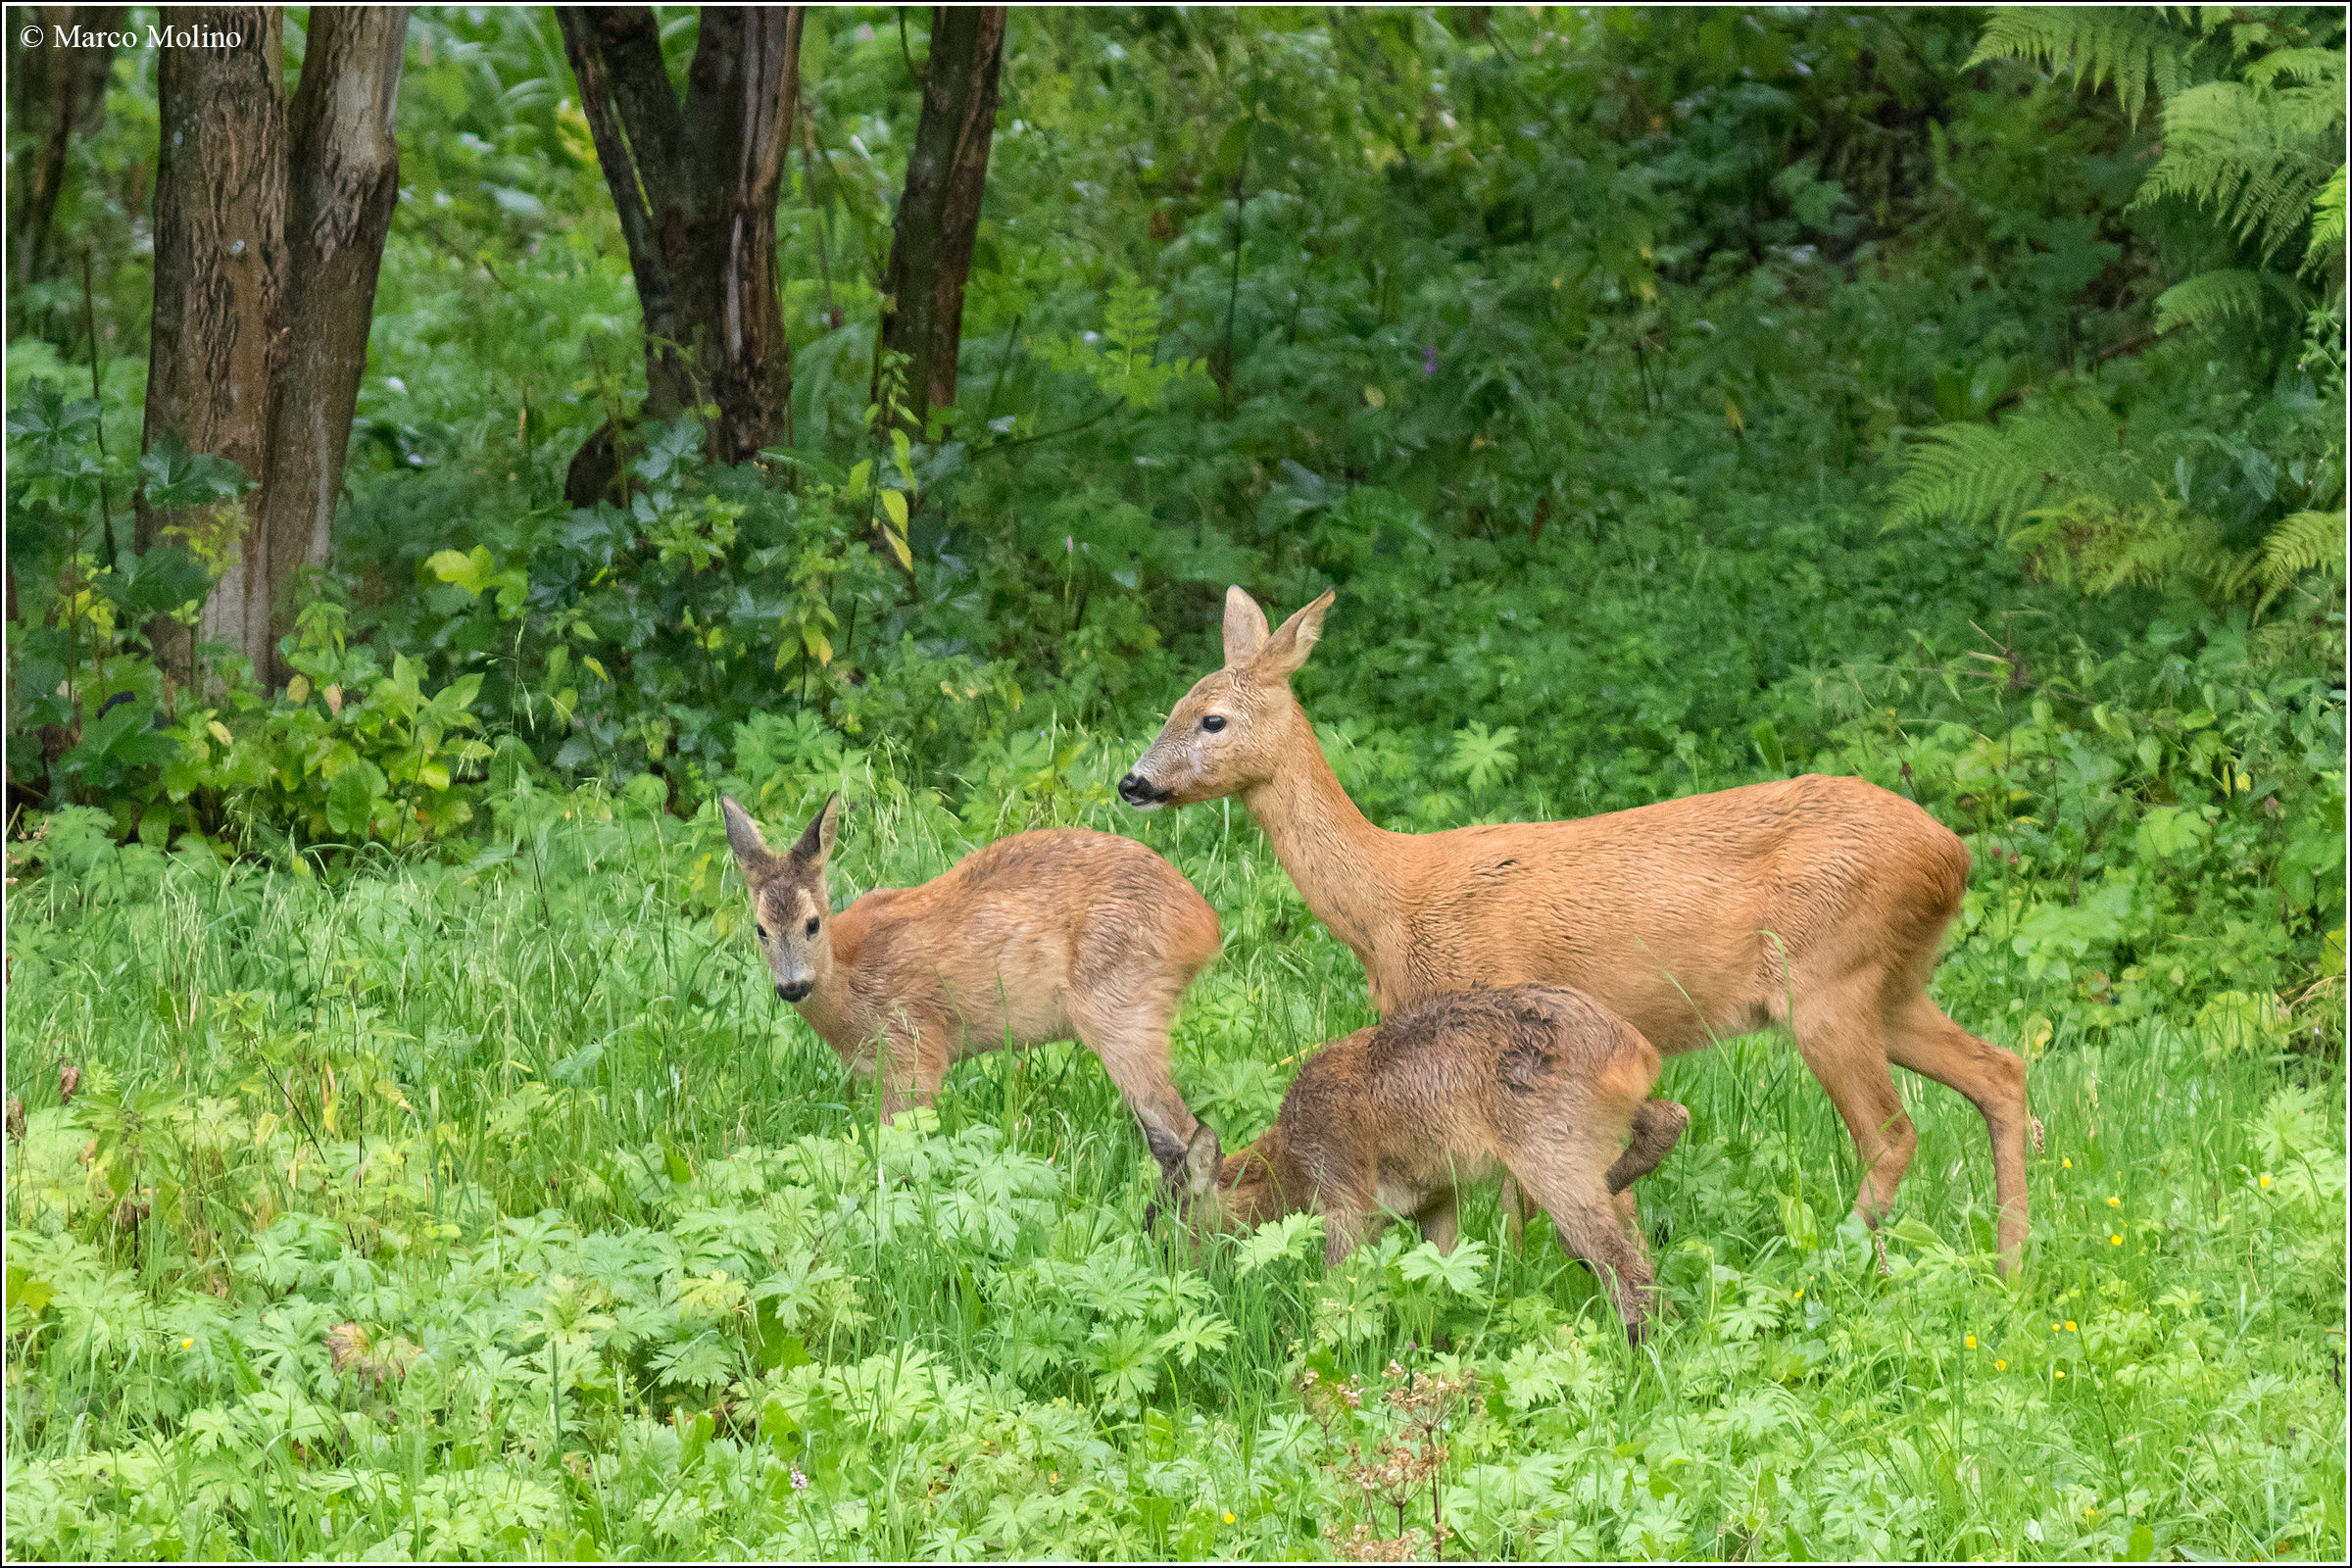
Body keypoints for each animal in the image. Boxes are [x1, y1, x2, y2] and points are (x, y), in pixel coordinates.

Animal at [721, 792, 1221, 1140]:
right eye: (760, 929)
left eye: (812, 923)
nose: (792, 987)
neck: (850, 978)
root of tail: (1203, 923)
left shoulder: (913, 1047)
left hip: (1120, 1000)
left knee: (1177, 1121)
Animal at [1118, 586, 2035, 1274]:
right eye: (1170, 707)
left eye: (1211, 720)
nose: (1133, 782)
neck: (1389, 902)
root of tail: (1953, 853)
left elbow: (1515, 1196)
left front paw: (1516, 1277)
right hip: (1893, 980)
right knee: (2002, 1071)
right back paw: (2010, 1267)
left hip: (1826, 981)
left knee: (1892, 1133)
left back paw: (1844, 1265)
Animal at [1146, 984, 1689, 1343]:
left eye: (1170, 1239)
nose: (1172, 1294)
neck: (1291, 1167)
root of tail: (1633, 1050)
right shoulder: (1439, 1198)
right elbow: (1439, 1275)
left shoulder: (1343, 1195)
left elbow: (1335, 1292)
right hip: (1590, 1127)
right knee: (1667, 1123)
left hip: (1548, 1142)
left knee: (1622, 1259)